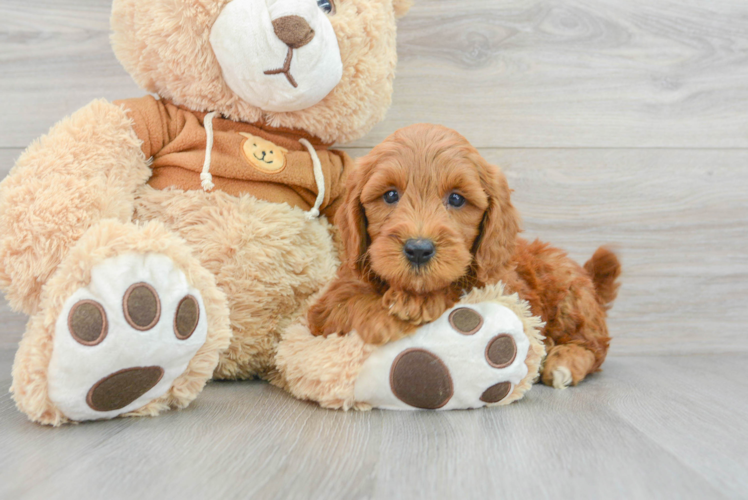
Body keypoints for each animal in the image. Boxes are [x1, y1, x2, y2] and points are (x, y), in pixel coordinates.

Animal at [306, 124, 624, 386]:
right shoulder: (327, 303)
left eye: (457, 199)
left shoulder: (505, 290)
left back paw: (563, 364)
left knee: (594, 348)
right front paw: (383, 318)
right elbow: (345, 301)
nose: (418, 249)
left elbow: (459, 290)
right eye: (390, 195)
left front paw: (417, 303)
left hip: (570, 299)